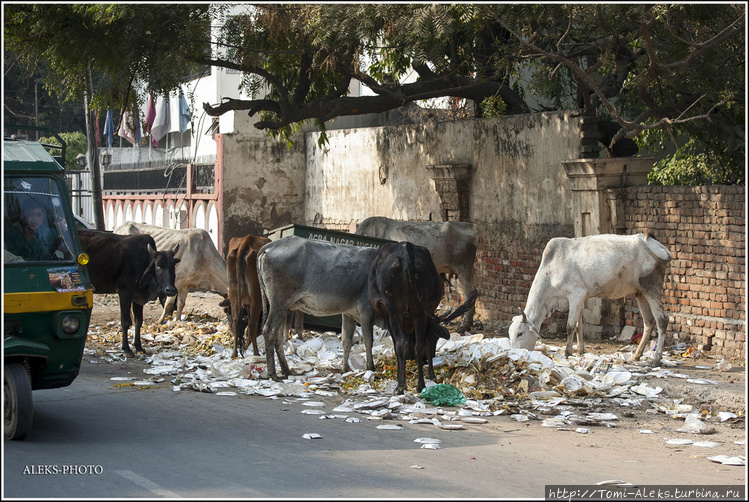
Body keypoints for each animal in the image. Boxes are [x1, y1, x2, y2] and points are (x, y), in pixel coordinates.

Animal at [258, 235, 380, 380]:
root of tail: (270, 246)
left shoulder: (348, 313)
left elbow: (346, 341)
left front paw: (345, 370)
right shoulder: (367, 310)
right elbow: (368, 340)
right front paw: (370, 368)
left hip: (283, 308)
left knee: (278, 338)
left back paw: (286, 370)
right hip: (279, 303)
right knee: (269, 331)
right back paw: (273, 373)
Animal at [366, 241, 476, 394]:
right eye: (437, 337)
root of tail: (406, 249)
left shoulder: (390, 319)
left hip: (395, 311)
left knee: (403, 345)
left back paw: (401, 386)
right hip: (419, 312)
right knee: (418, 346)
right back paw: (420, 385)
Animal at [508, 233, 672, 366]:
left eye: (520, 333)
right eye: (510, 334)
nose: (515, 354)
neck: (551, 271)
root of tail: (657, 246)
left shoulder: (576, 295)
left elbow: (570, 326)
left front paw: (567, 353)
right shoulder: (580, 299)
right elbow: (579, 326)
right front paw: (580, 351)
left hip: (651, 287)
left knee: (662, 320)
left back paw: (656, 359)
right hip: (640, 292)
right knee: (649, 322)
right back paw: (637, 355)